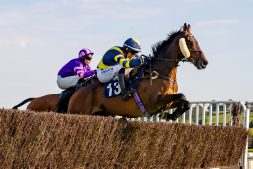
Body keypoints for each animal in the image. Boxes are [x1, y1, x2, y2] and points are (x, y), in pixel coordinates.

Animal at [67, 23, 208, 119]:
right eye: (190, 42)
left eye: (196, 41)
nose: (204, 62)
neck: (160, 73)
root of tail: (77, 92)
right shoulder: (154, 101)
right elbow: (182, 96)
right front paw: (171, 115)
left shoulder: (168, 101)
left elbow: (186, 101)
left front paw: (172, 115)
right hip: (78, 111)